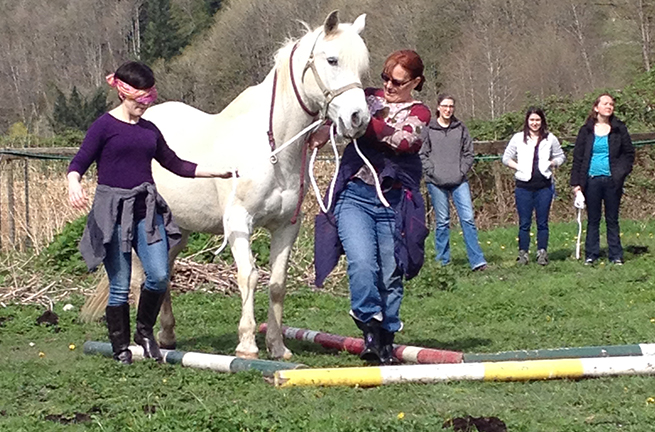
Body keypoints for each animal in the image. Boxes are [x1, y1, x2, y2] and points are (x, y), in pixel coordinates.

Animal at [80, 11, 368, 362]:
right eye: (332, 60)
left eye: (362, 66)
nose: (359, 118)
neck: (272, 148)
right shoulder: (238, 223)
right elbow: (249, 276)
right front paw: (247, 345)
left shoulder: (286, 226)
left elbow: (277, 283)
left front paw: (277, 347)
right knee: (138, 279)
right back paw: (138, 344)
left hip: (177, 229)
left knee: (164, 273)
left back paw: (166, 335)